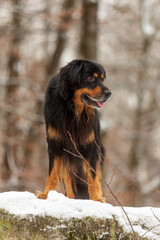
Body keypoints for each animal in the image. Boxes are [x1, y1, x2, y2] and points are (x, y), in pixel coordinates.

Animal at [37, 59, 111, 202]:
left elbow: (92, 176)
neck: (73, 110)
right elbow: (52, 173)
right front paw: (46, 194)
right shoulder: (55, 144)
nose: (108, 93)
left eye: (102, 79)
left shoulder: (92, 146)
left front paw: (96, 198)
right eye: (90, 78)